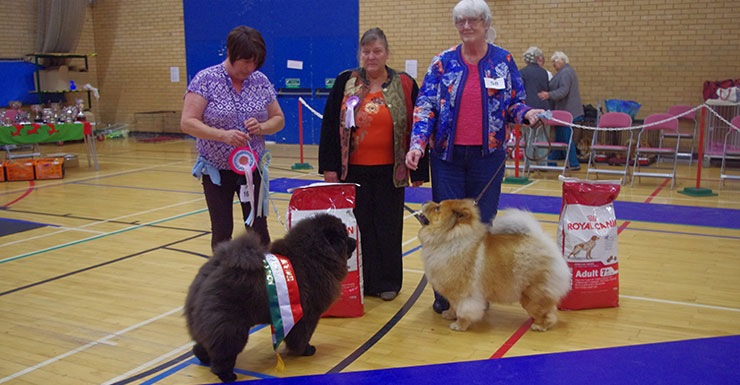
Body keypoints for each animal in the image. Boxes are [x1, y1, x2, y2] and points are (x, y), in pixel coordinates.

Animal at [186, 213, 356, 380]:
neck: (314, 256)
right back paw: (227, 375)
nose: (354, 240)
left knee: (203, 344)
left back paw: (205, 359)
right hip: (231, 327)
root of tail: (214, 270)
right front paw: (306, 350)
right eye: (344, 236)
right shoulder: (307, 314)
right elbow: (302, 336)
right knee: (223, 352)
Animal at [420, 200, 568, 332]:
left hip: (532, 293)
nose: (425, 202)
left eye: (437, 208)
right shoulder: (453, 293)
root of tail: (542, 241)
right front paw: (449, 314)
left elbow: (464, 310)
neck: (449, 239)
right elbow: (453, 305)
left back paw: (539, 326)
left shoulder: (464, 294)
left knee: (547, 312)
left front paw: (459, 325)